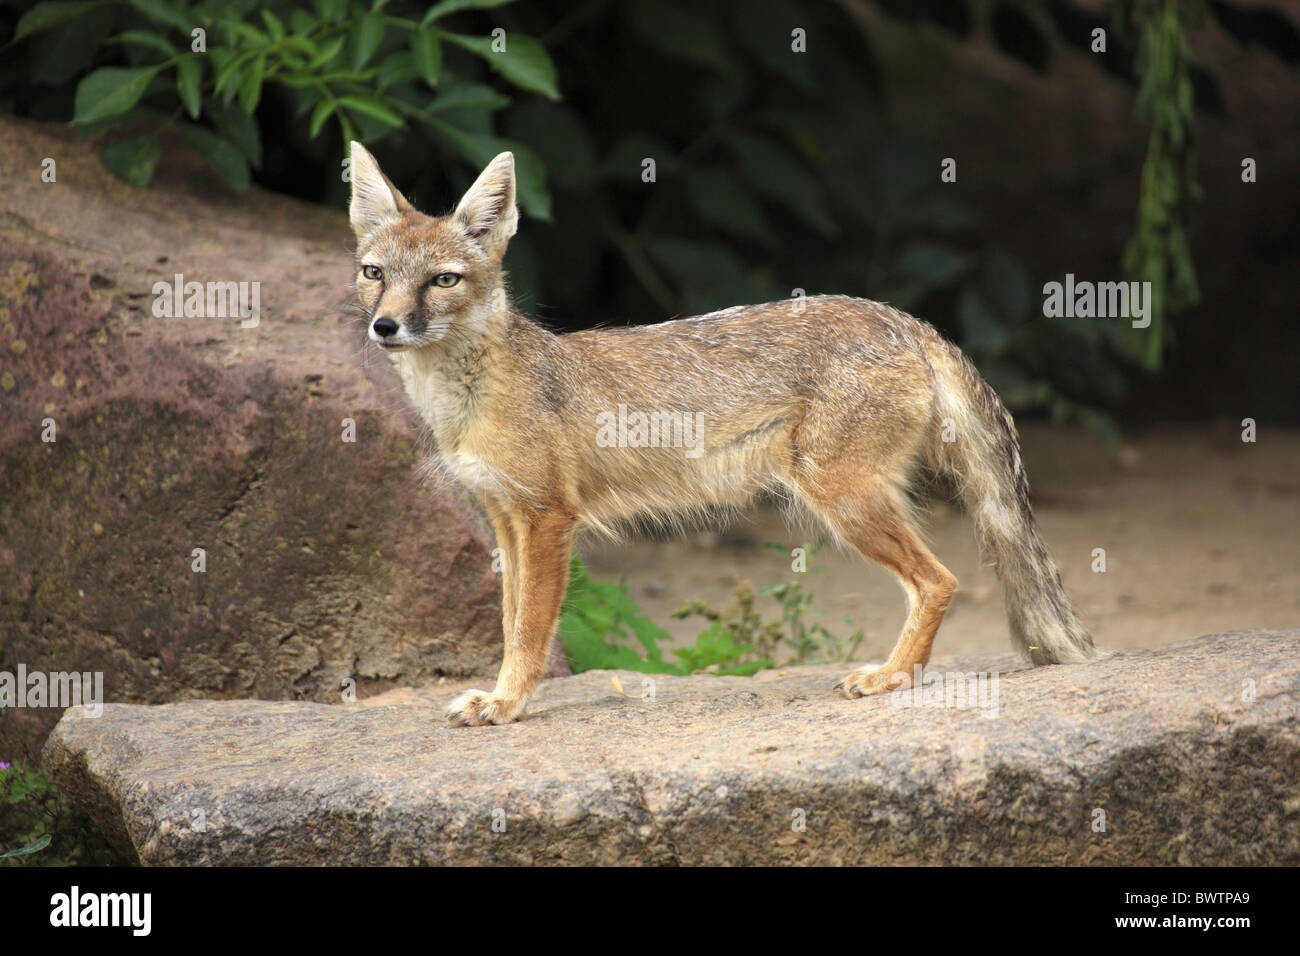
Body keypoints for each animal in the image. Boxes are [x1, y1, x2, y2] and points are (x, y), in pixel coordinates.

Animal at [345, 140, 1097, 723]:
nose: (386, 326)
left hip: (843, 501)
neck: (465, 400)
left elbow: (530, 632)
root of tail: (906, 320)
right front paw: (499, 696)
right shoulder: (505, 521)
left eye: (443, 281)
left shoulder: (548, 520)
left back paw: (891, 676)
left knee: (939, 581)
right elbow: (508, 625)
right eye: (374, 274)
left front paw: (506, 704)